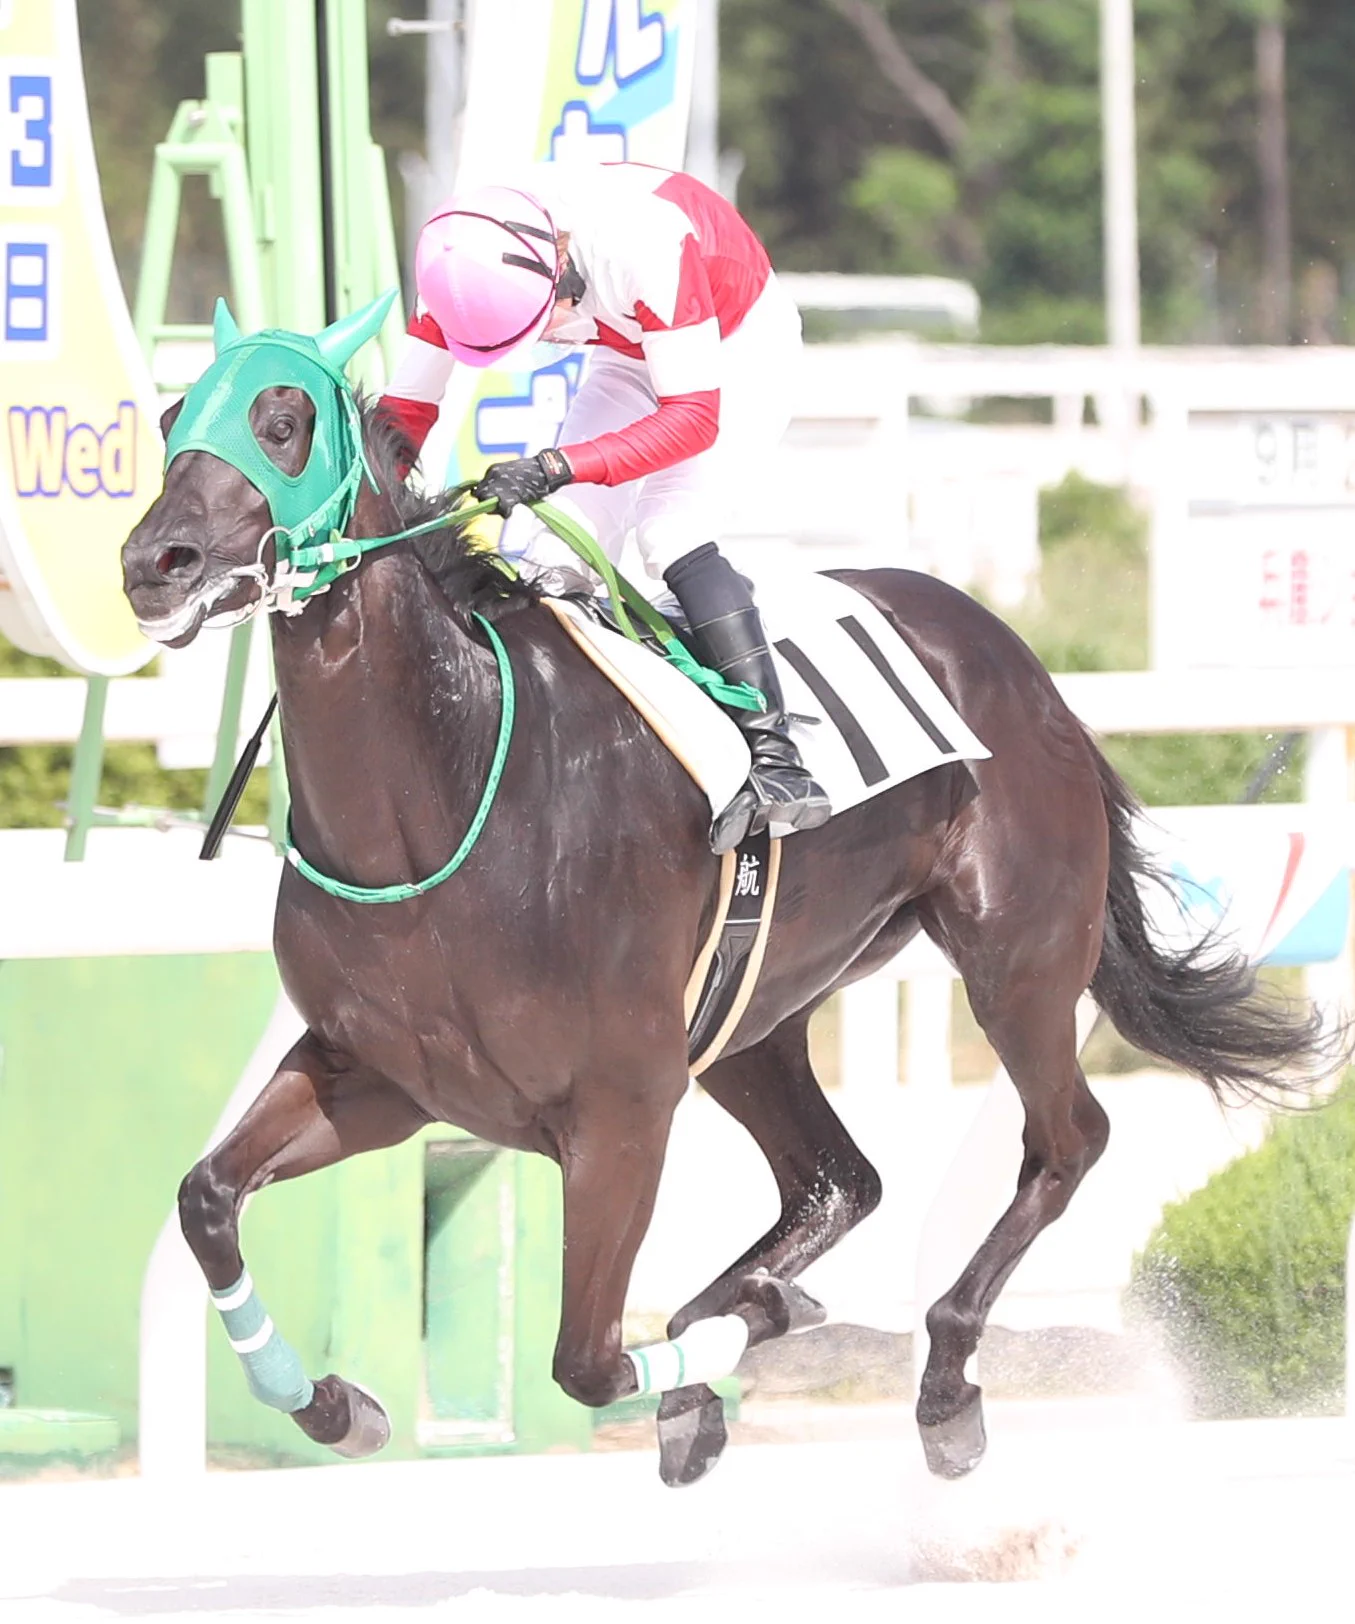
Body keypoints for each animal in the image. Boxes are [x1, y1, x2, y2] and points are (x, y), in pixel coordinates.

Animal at [121, 299, 1345, 1486]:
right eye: (174, 412)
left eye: (283, 422)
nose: (153, 561)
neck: (447, 785)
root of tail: (1018, 659)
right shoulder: (377, 1076)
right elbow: (204, 1199)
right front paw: (331, 1403)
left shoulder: (621, 1107)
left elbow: (586, 1357)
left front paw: (736, 1342)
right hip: (759, 1013)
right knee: (840, 1181)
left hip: (1017, 958)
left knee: (1065, 1141)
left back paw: (941, 1383)